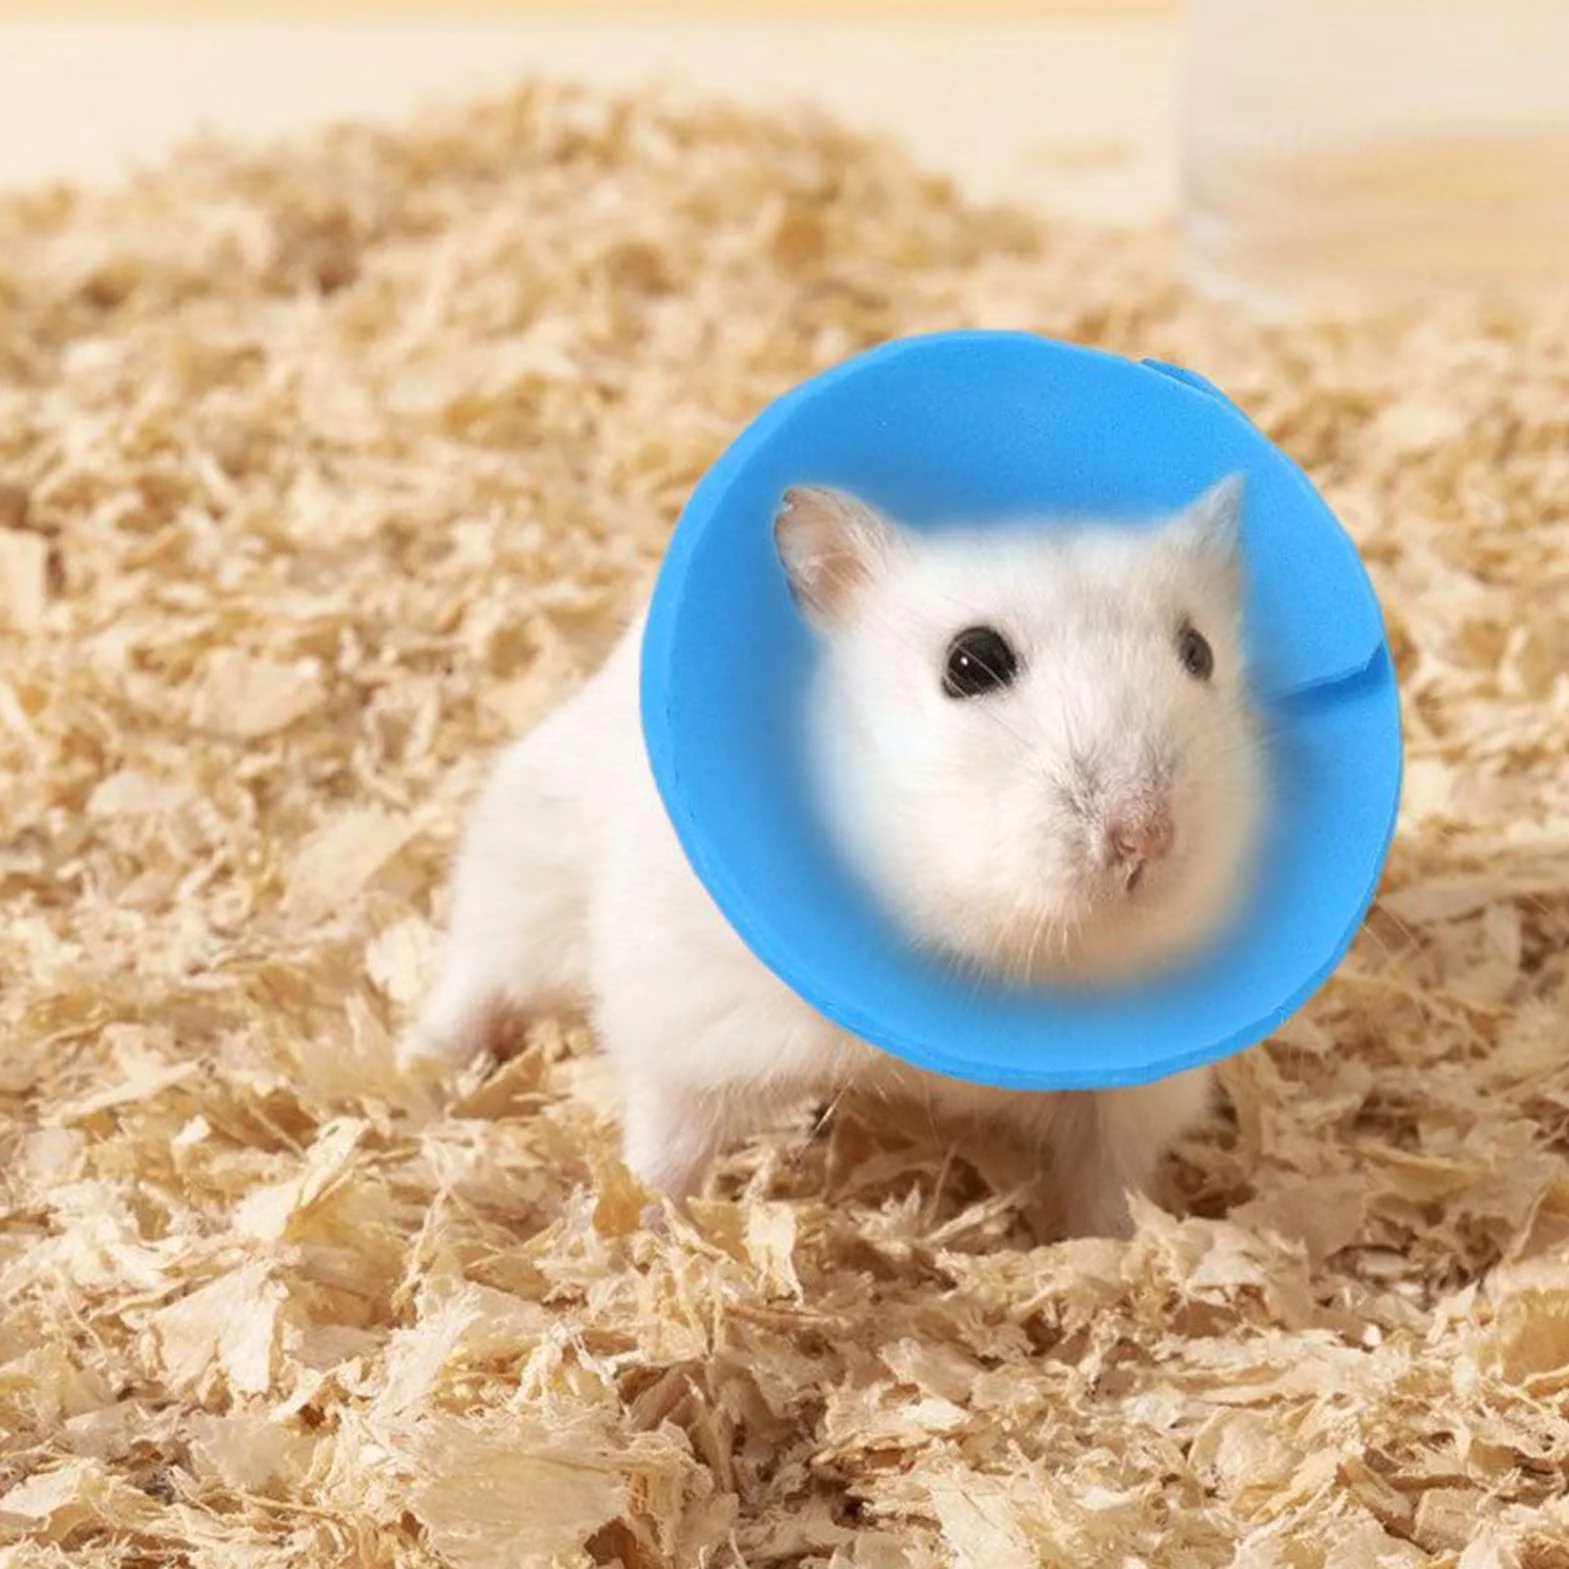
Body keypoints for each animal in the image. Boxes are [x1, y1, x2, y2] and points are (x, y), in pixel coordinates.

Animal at [400, 477, 1266, 1238]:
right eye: (971, 661)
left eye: (1197, 652)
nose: (1144, 837)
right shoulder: (686, 1022)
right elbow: (666, 1144)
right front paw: (627, 1237)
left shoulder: (1131, 1093)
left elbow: (1106, 1179)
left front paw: (1117, 1254)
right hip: (523, 869)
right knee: (476, 977)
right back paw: (423, 1069)